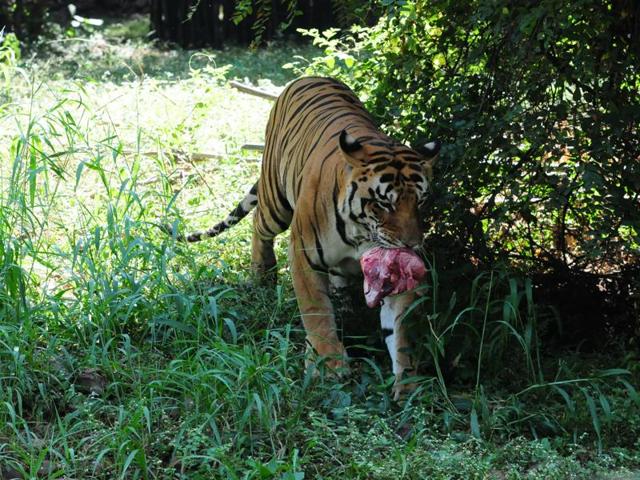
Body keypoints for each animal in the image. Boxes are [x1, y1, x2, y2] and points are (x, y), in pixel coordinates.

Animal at [170, 77, 440, 400]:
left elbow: (401, 329)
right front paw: (330, 365)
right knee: (259, 223)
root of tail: (311, 77)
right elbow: (316, 312)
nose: (412, 245)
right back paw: (262, 275)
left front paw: (409, 384)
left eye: (421, 202)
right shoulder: (304, 253)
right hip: (275, 201)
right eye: (384, 203)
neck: (361, 232)